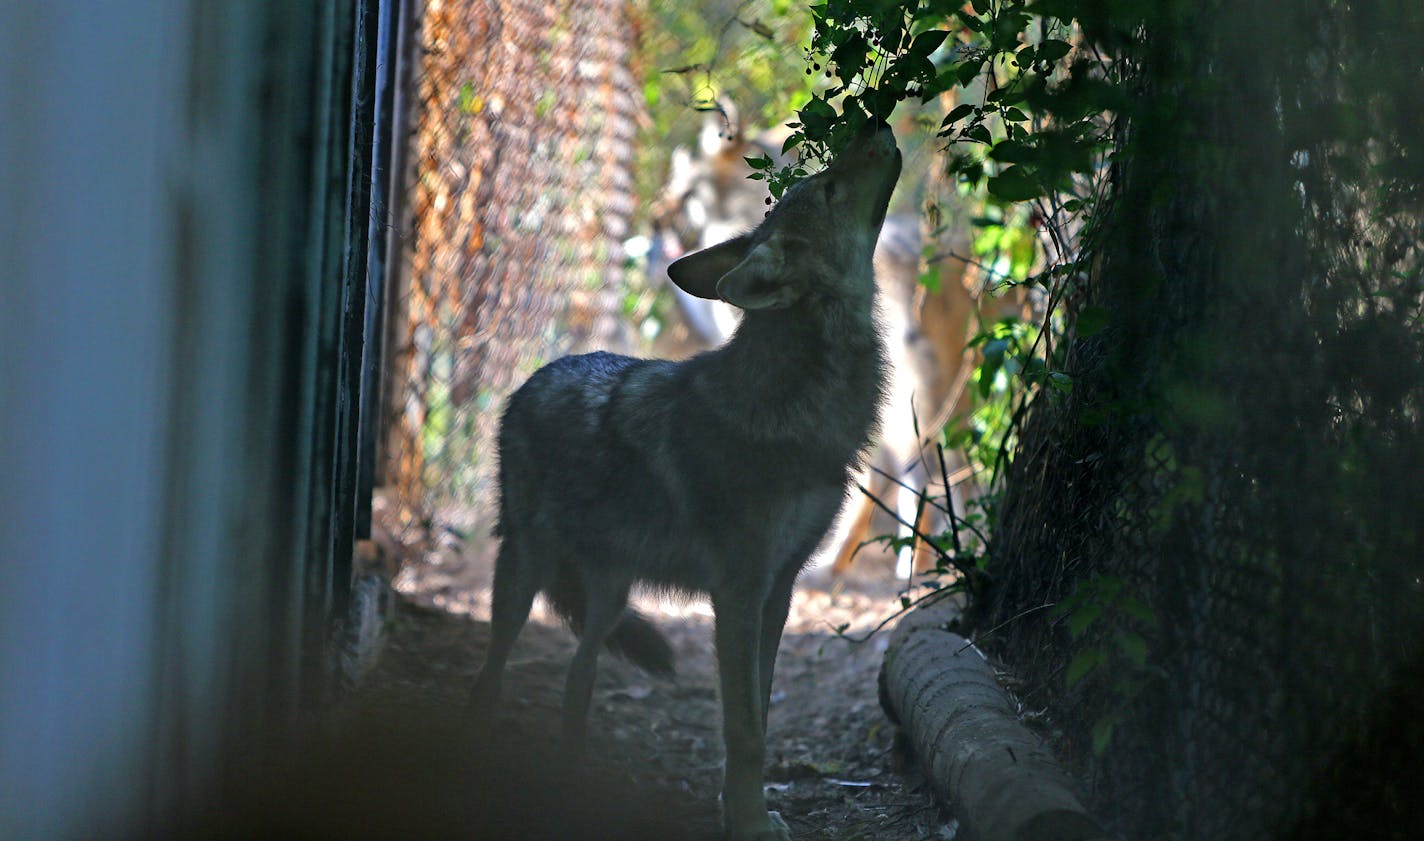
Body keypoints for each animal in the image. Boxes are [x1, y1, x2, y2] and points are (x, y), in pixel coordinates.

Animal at [469, 121, 899, 836]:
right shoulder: (739, 593)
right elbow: (744, 731)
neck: (799, 403)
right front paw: (751, 826)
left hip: (610, 598)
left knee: (578, 681)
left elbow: (757, 716)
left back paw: (570, 784)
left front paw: (742, 813)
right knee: (490, 679)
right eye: (831, 187)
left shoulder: (778, 593)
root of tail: (531, 380)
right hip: (523, 576)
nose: (877, 125)